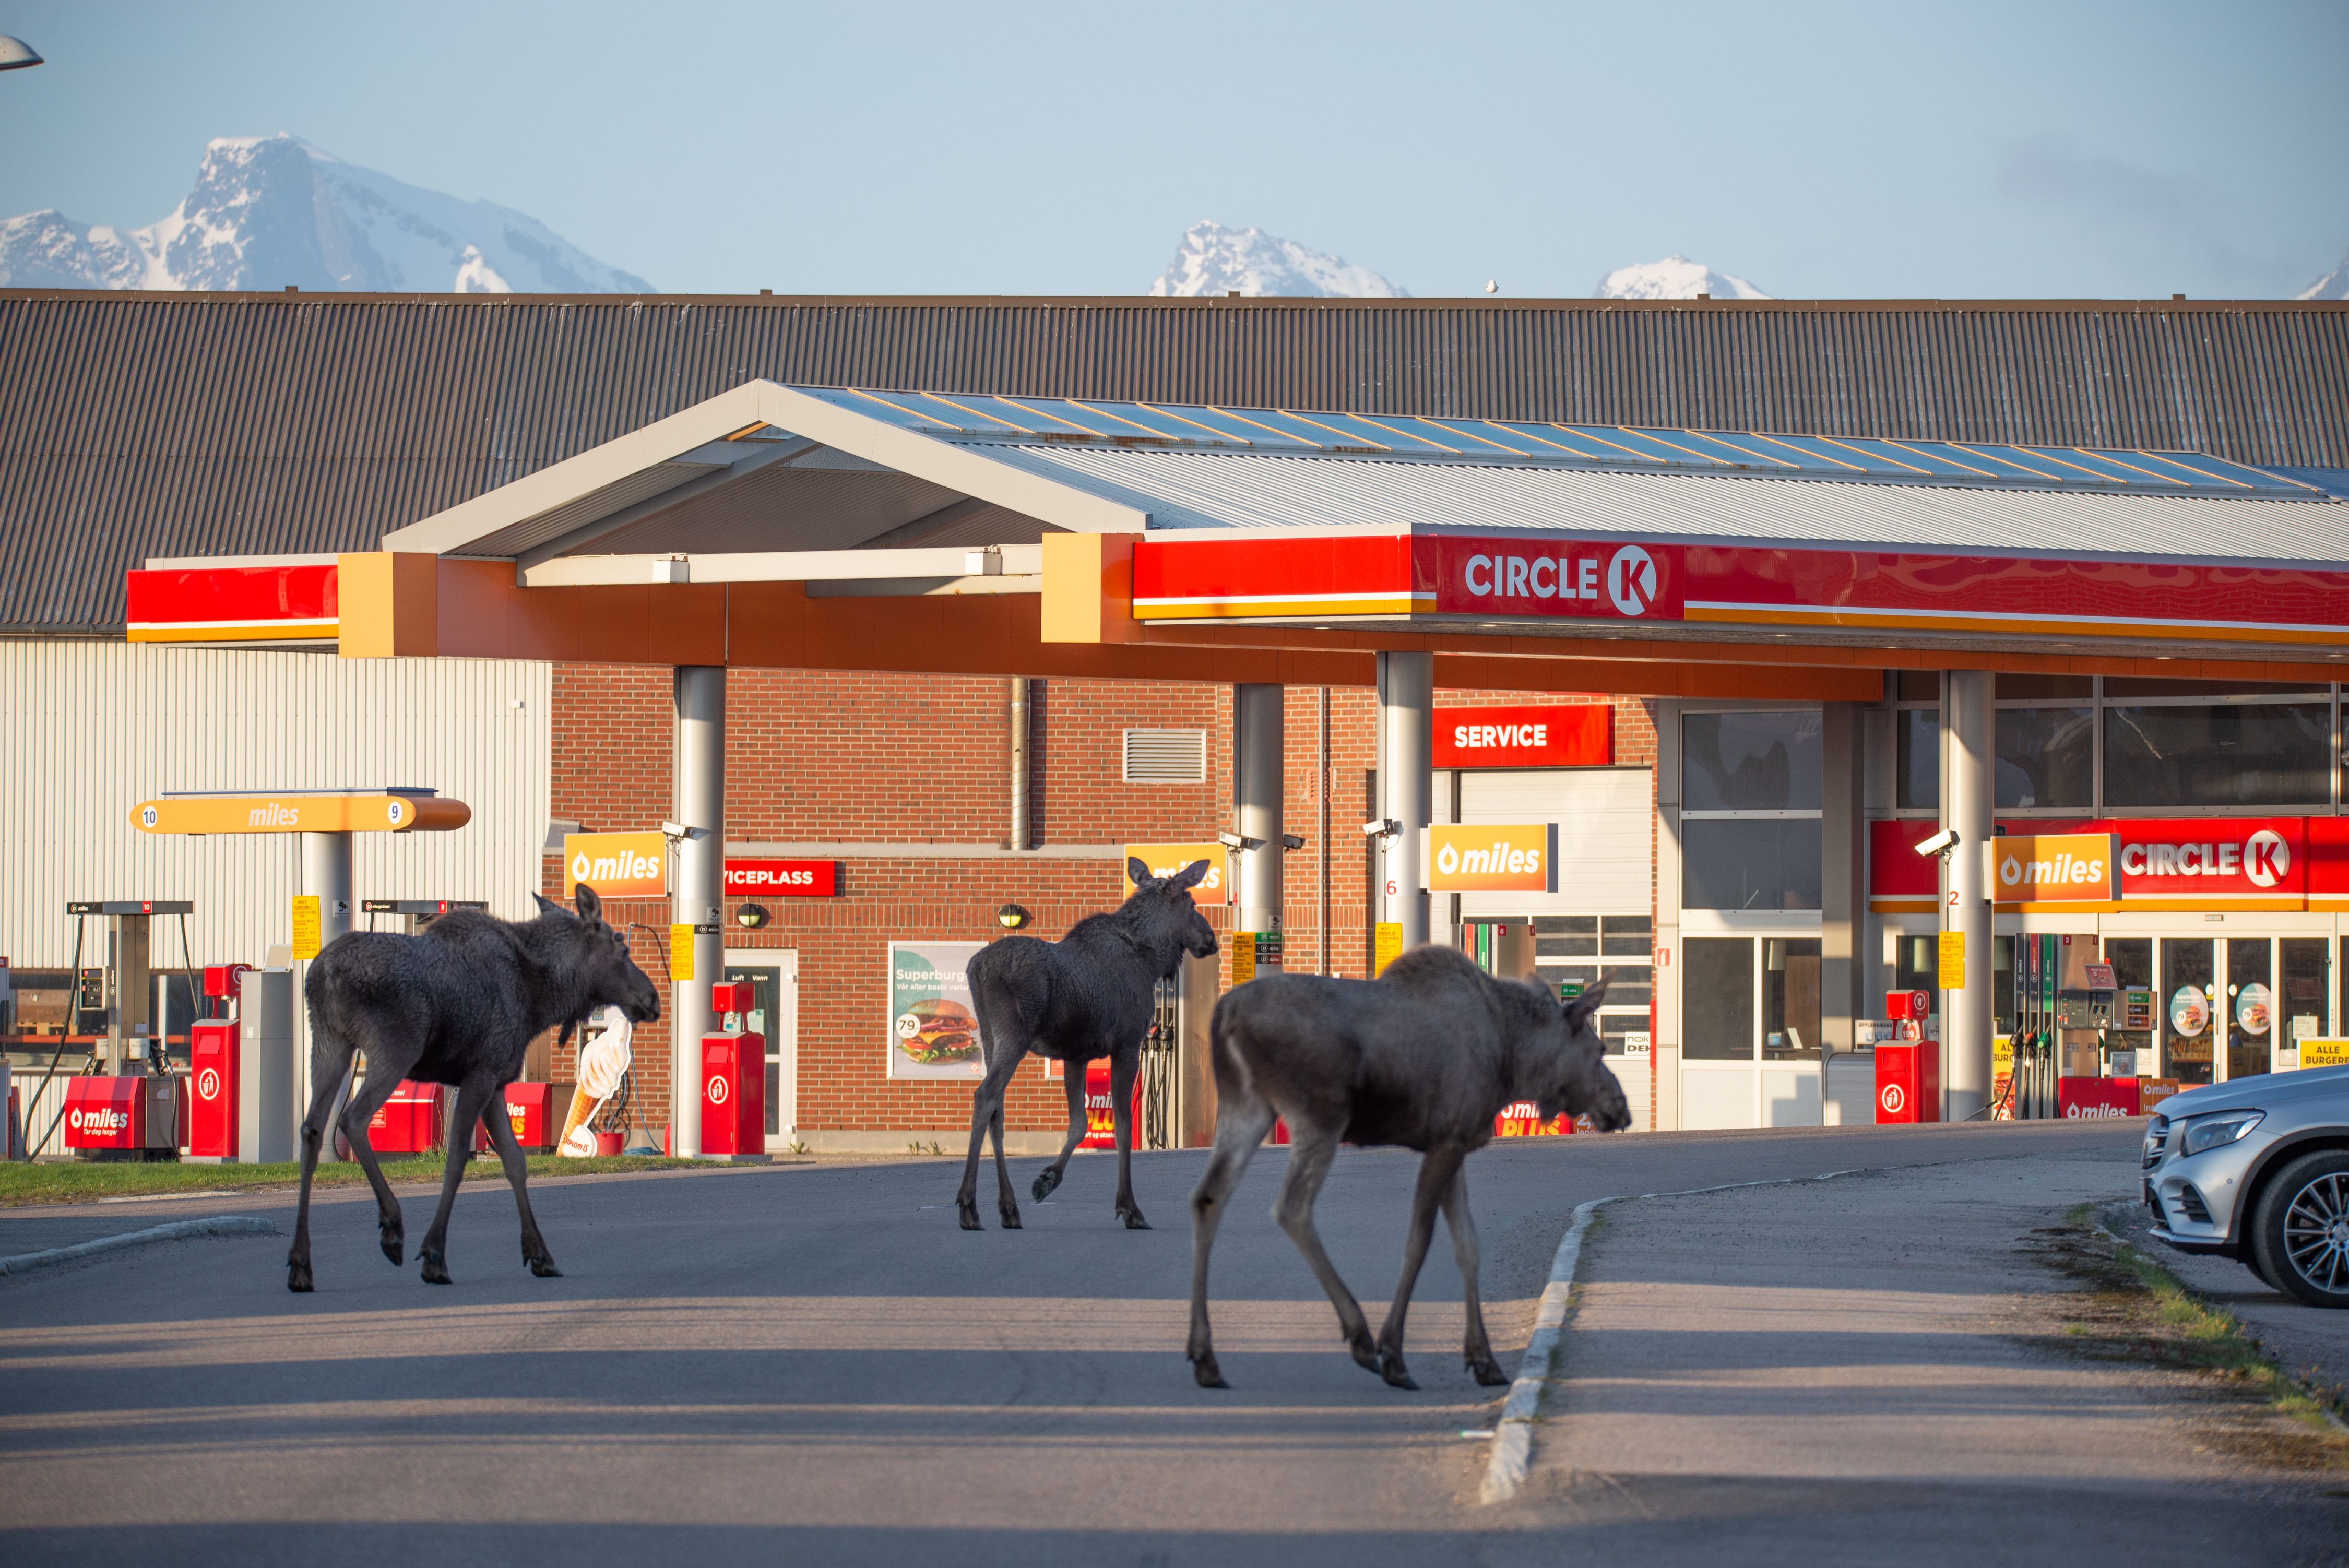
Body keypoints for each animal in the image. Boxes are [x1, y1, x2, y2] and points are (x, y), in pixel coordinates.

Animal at [286, 885, 661, 1293]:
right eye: (622, 947)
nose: (653, 999)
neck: (541, 998)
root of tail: (323, 976)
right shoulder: (481, 1074)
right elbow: (456, 1162)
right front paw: (434, 1256)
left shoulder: (496, 1082)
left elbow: (515, 1162)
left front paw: (540, 1254)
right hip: (395, 1047)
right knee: (353, 1119)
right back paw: (392, 1227)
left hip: (330, 1043)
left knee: (312, 1130)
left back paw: (301, 1263)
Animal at [956, 857, 1220, 1232]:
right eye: (1193, 904)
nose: (1211, 940)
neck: (1151, 959)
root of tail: (975, 968)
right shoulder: (1127, 1045)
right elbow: (1123, 1127)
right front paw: (1130, 1207)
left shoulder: (1076, 1055)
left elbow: (1079, 1124)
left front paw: (1047, 1179)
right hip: (1015, 1034)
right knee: (985, 1096)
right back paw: (969, 1206)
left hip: (990, 1037)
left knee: (998, 1109)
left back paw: (1009, 1207)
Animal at [1186, 945, 1629, 1390]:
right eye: (1600, 1051)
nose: (1622, 1108)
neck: (1512, 1060)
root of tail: (1225, 1015)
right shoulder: (1447, 1142)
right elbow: (1419, 1242)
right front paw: (1394, 1353)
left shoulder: (1452, 1143)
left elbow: (1468, 1245)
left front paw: (1483, 1358)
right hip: (1319, 1114)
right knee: (1292, 1207)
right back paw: (1361, 1338)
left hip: (1247, 1106)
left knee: (1209, 1197)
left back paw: (1205, 1356)